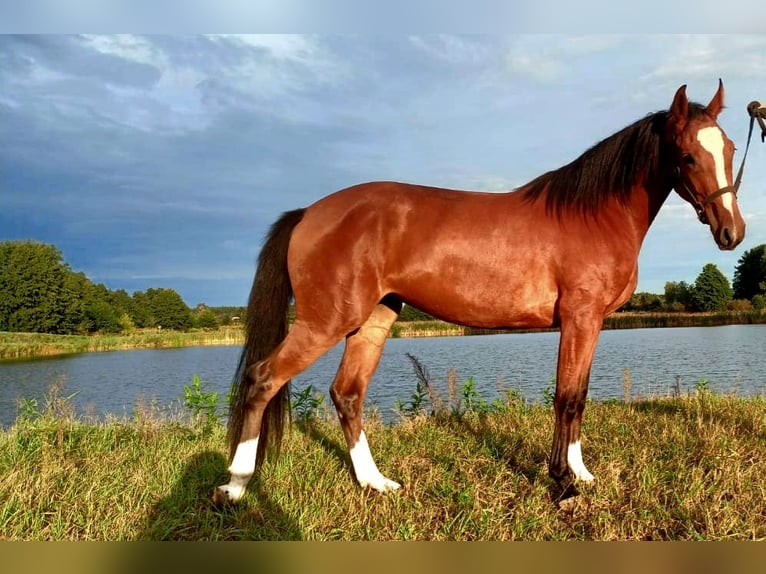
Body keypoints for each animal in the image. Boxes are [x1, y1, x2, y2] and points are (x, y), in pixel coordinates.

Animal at [213, 79, 748, 506]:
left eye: (729, 150)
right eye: (687, 155)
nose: (733, 232)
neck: (594, 214)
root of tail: (308, 213)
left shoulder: (592, 323)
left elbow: (580, 396)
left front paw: (581, 474)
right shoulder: (579, 317)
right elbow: (565, 397)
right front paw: (560, 483)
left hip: (373, 320)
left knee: (346, 394)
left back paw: (375, 482)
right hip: (325, 321)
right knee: (262, 380)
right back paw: (236, 485)